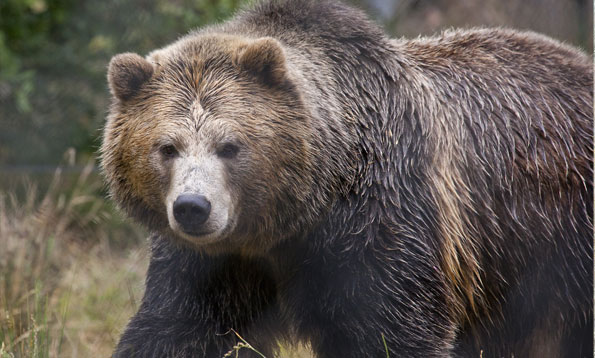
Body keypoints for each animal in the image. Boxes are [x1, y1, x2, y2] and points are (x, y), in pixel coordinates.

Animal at [100, 0, 592, 358]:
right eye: (167, 147)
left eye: (230, 145)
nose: (192, 208)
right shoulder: (213, 265)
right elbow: (178, 328)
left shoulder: (379, 220)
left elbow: (392, 330)